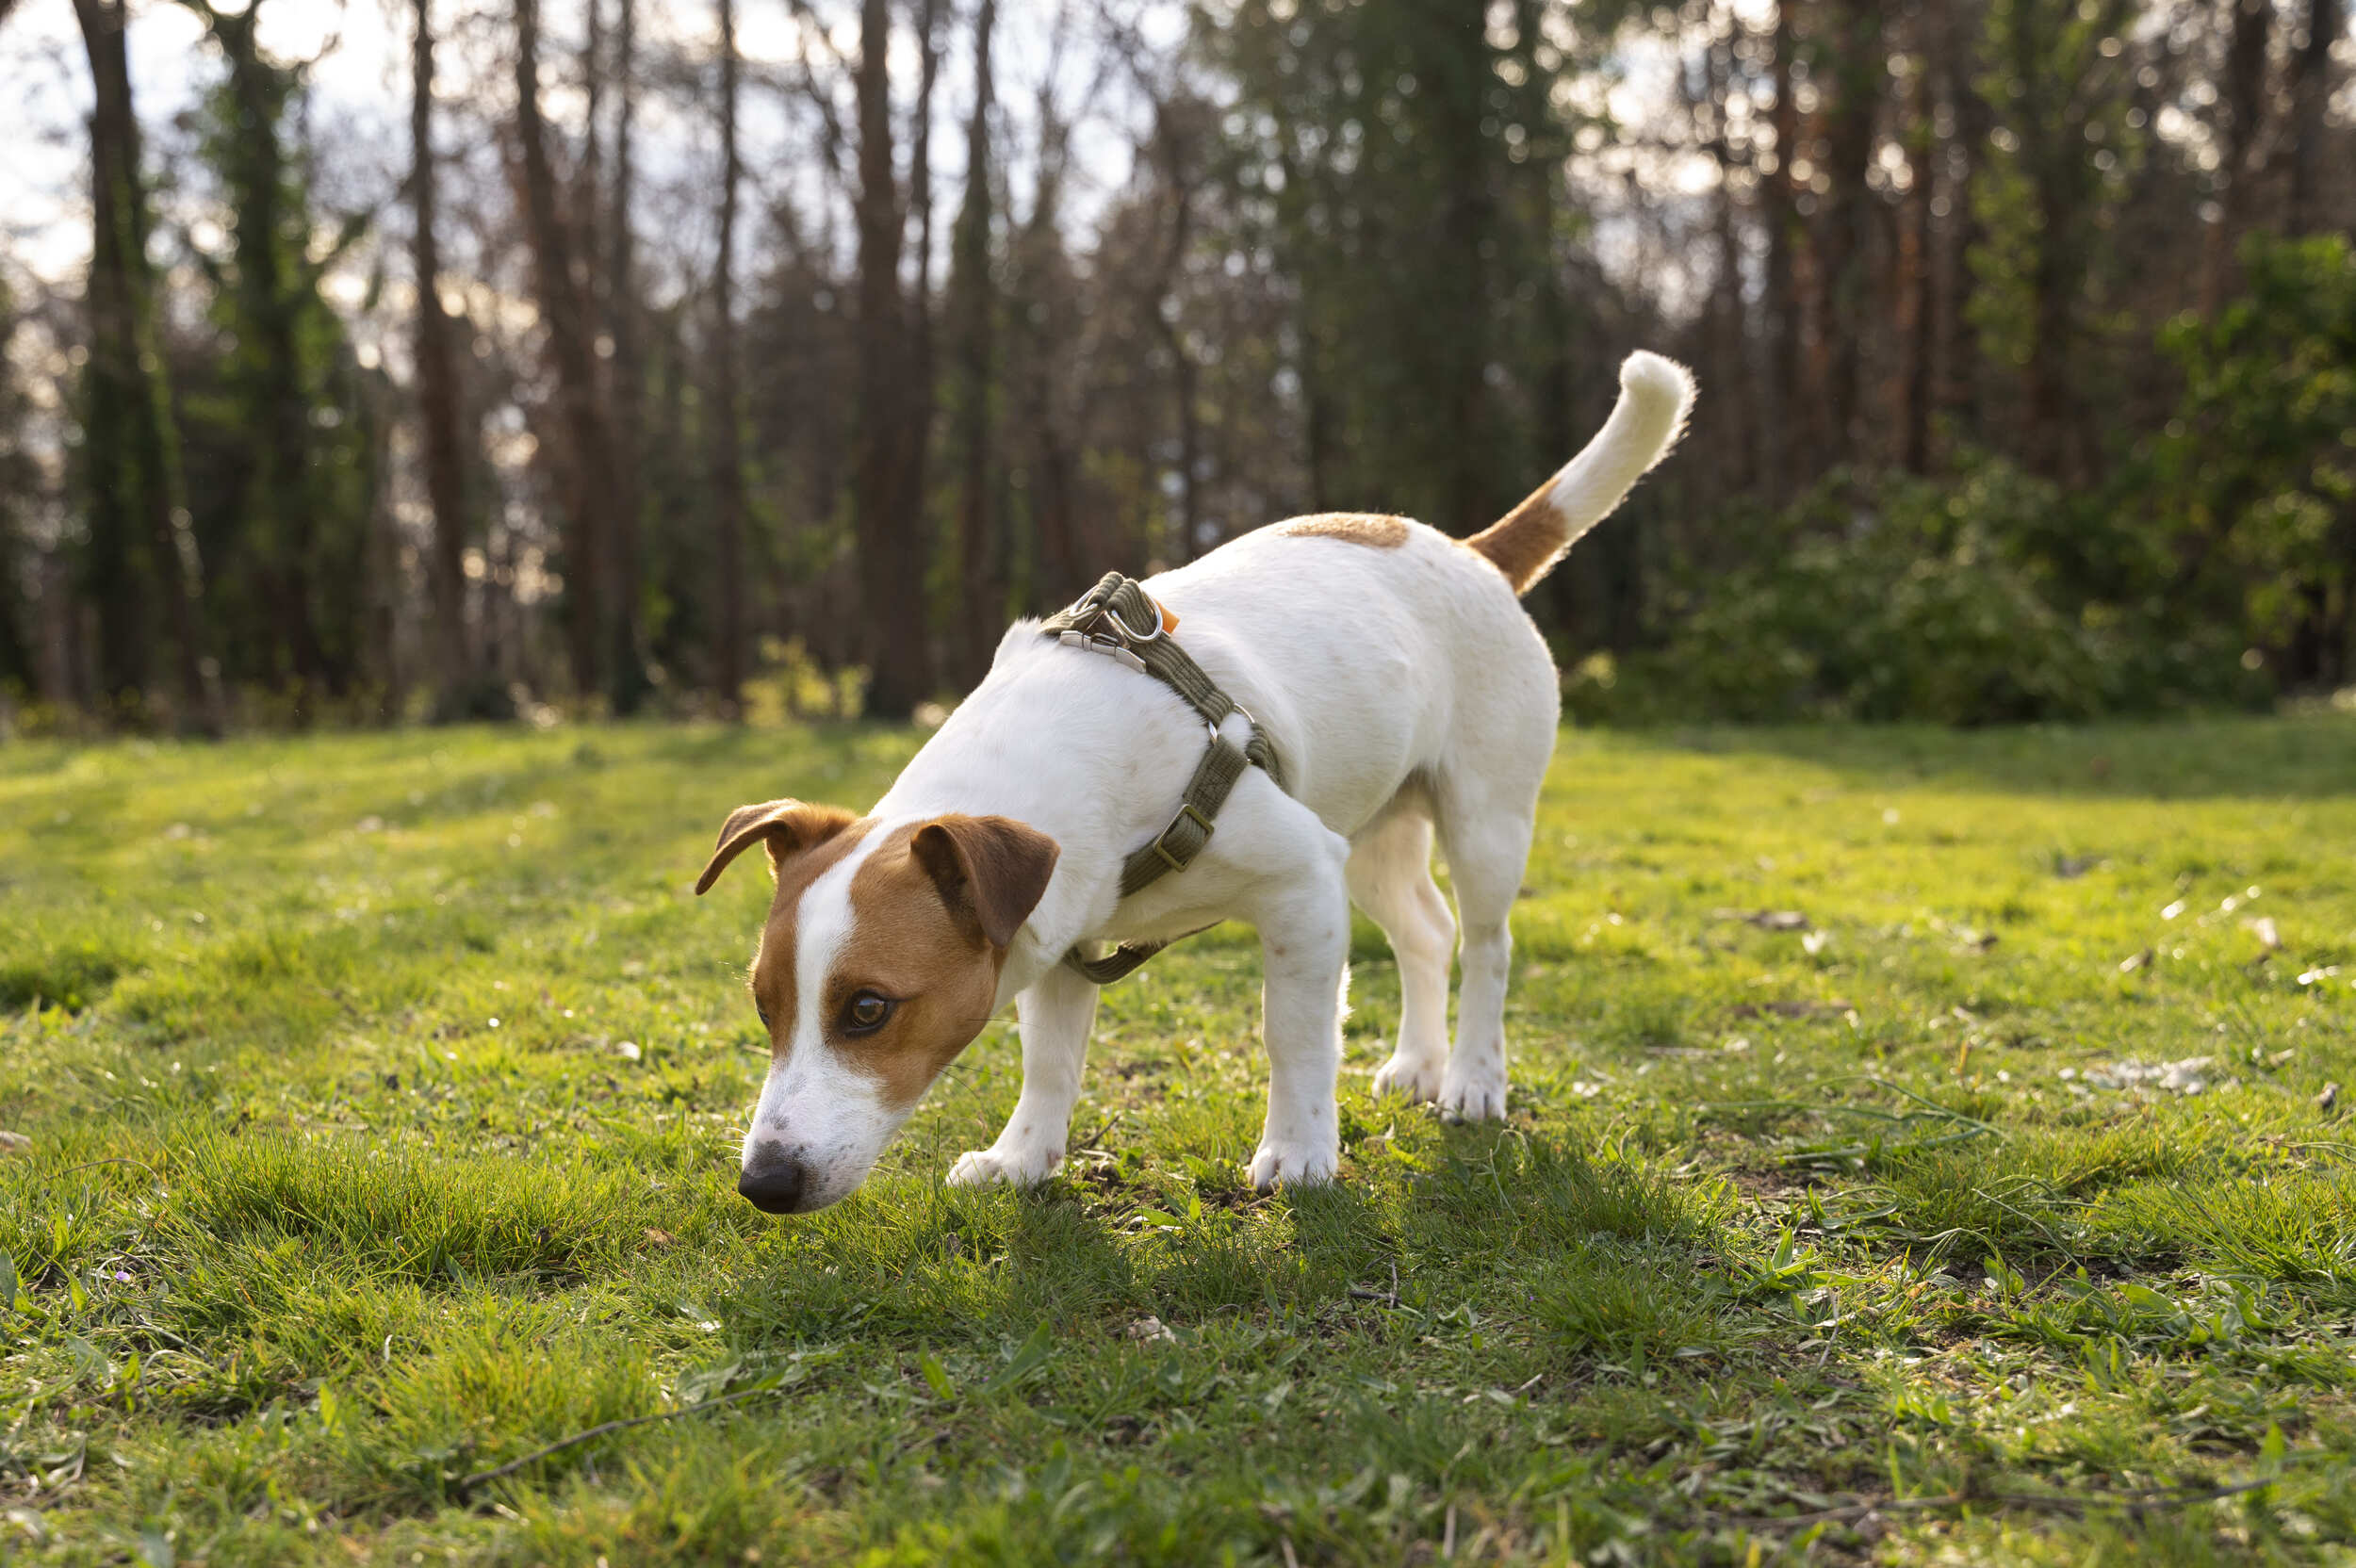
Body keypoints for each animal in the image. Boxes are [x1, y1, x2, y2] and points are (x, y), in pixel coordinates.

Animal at [697, 352, 1696, 1205]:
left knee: (1487, 944)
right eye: (763, 1004)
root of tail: (1474, 551)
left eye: (868, 1009)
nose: (763, 1184)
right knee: (1427, 930)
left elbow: (1293, 1037)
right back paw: (1419, 1062)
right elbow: (1050, 1060)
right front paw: (1024, 1157)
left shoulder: (1301, 885)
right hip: (1370, 833)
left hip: (1484, 819)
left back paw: (1473, 1079)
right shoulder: (1067, 928)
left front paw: (1298, 1150)